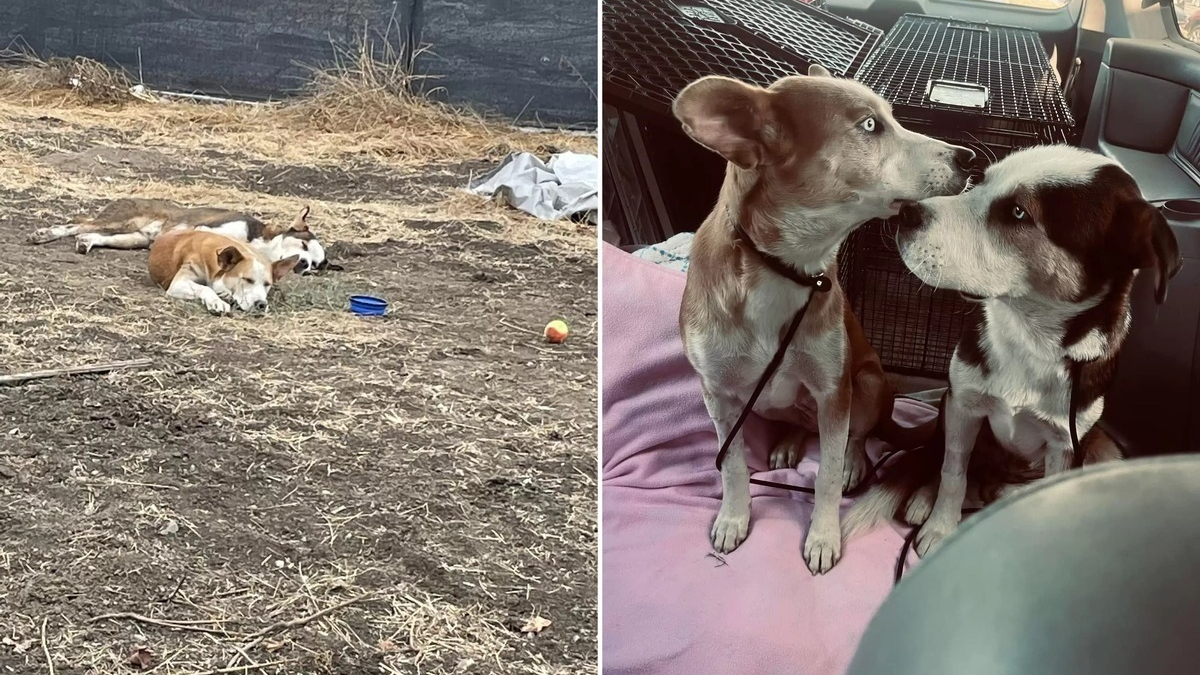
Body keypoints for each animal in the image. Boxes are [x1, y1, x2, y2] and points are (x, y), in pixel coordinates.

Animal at [150, 224, 300, 312]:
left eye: (267, 284)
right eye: (247, 279)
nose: (261, 304)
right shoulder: (178, 283)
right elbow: (205, 288)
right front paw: (217, 302)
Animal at [676, 66, 974, 571]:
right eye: (870, 125)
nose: (969, 156)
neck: (786, 268)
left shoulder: (834, 388)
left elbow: (828, 474)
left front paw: (823, 536)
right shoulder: (716, 391)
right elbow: (732, 465)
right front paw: (734, 519)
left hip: (868, 382)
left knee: (856, 434)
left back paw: (851, 460)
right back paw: (786, 444)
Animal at [844, 141, 1180, 552]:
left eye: (1018, 212)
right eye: (981, 182)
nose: (906, 212)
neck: (1029, 337)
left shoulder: (1066, 444)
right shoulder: (963, 405)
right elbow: (952, 472)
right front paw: (939, 527)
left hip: (1105, 449)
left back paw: (1001, 493)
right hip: (948, 410)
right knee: (939, 459)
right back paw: (928, 498)